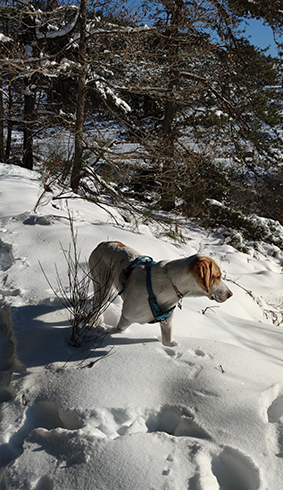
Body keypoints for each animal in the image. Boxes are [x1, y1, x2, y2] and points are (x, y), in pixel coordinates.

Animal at [89, 240, 233, 346]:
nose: (230, 294)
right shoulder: (126, 319)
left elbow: (168, 343)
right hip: (103, 286)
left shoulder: (167, 323)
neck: (169, 285)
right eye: (218, 277)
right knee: (96, 306)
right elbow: (117, 330)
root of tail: (102, 243)